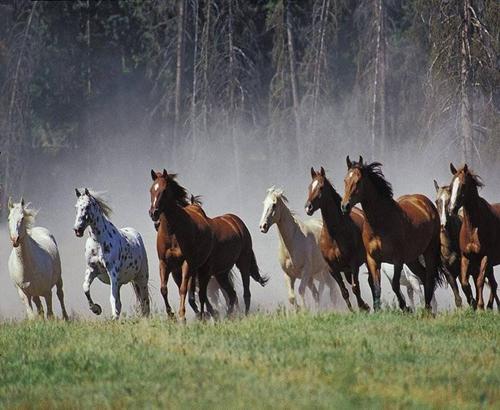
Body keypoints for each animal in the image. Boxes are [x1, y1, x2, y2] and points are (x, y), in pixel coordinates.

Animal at [73, 189, 149, 320]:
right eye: (76, 207)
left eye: (87, 206)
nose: (77, 229)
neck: (98, 243)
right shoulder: (92, 270)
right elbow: (86, 288)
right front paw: (96, 309)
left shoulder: (112, 272)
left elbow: (112, 298)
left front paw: (112, 316)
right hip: (121, 282)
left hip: (141, 278)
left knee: (145, 301)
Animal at [148, 170, 268, 320]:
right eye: (151, 190)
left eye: (164, 190)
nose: (153, 213)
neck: (173, 233)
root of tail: (236, 221)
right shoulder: (166, 264)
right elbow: (164, 289)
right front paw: (172, 316)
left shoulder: (188, 264)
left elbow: (185, 290)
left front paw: (183, 316)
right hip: (220, 273)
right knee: (231, 294)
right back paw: (226, 316)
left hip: (242, 263)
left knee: (245, 292)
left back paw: (243, 315)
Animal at [304, 167, 372, 310]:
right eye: (309, 187)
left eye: (321, 187)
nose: (308, 207)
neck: (335, 236)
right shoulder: (332, 269)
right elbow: (344, 292)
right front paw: (353, 310)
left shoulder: (353, 264)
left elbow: (355, 288)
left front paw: (364, 307)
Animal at [340, 157, 442, 310]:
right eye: (345, 180)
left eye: (358, 181)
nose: (344, 206)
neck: (380, 224)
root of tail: (425, 202)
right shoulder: (373, 259)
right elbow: (377, 287)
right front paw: (377, 310)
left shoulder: (397, 260)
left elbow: (395, 285)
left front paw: (405, 308)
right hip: (412, 259)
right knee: (424, 277)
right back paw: (429, 309)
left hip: (429, 251)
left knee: (429, 279)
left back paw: (427, 309)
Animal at [448, 163, 500, 308]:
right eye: (451, 186)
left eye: (463, 185)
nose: (451, 209)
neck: (473, 229)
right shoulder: (466, 257)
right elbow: (465, 284)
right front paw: (474, 304)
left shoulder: (485, 257)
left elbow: (480, 281)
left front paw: (480, 305)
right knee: (494, 284)